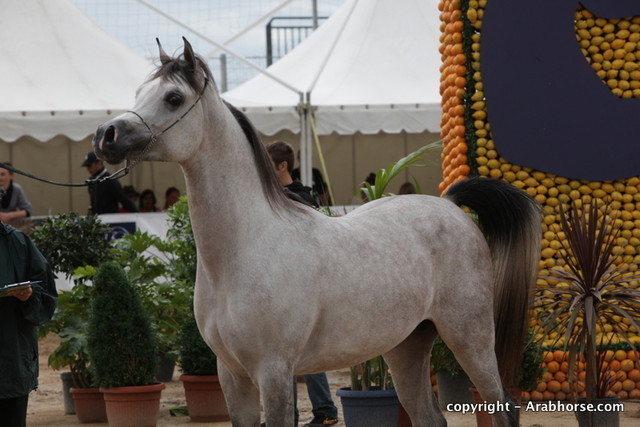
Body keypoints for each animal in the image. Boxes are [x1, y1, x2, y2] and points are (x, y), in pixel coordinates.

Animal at [93, 38, 541, 427]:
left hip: (470, 336)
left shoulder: (274, 372)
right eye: (139, 92)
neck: (244, 249)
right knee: (431, 418)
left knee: (503, 406)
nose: (105, 135)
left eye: (173, 98)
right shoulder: (231, 375)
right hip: (406, 347)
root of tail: (450, 204)